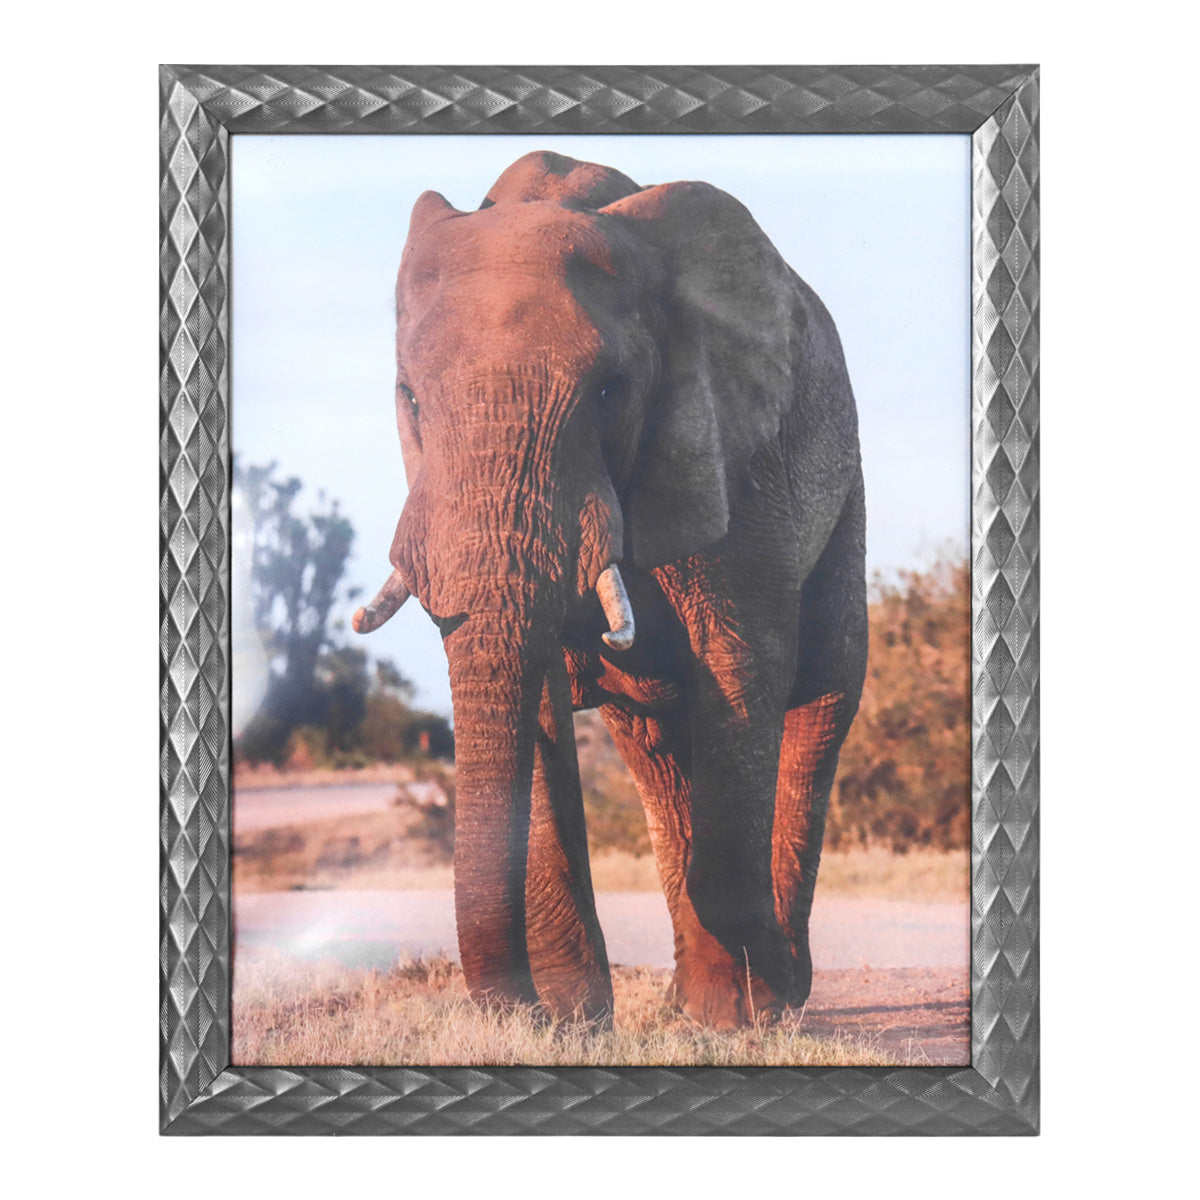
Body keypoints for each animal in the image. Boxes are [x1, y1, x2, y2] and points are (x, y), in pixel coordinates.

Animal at [353, 151, 867, 1029]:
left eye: (610, 390)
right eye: (410, 398)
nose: (516, 1012)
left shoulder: (730, 451)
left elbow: (742, 669)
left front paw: (748, 1015)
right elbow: (539, 696)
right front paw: (573, 1023)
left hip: (845, 483)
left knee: (821, 702)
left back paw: (776, 998)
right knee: (653, 744)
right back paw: (699, 1001)